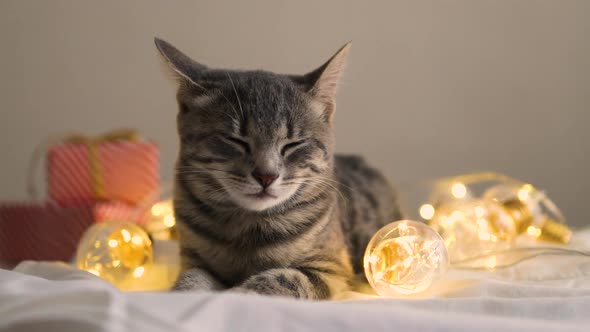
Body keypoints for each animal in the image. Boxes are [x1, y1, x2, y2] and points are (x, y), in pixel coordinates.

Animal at [155, 37, 404, 300]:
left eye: (293, 144)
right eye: (235, 140)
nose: (266, 176)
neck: (247, 228)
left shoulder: (330, 267)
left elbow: (280, 279)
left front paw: (238, 293)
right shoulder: (194, 260)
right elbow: (191, 280)